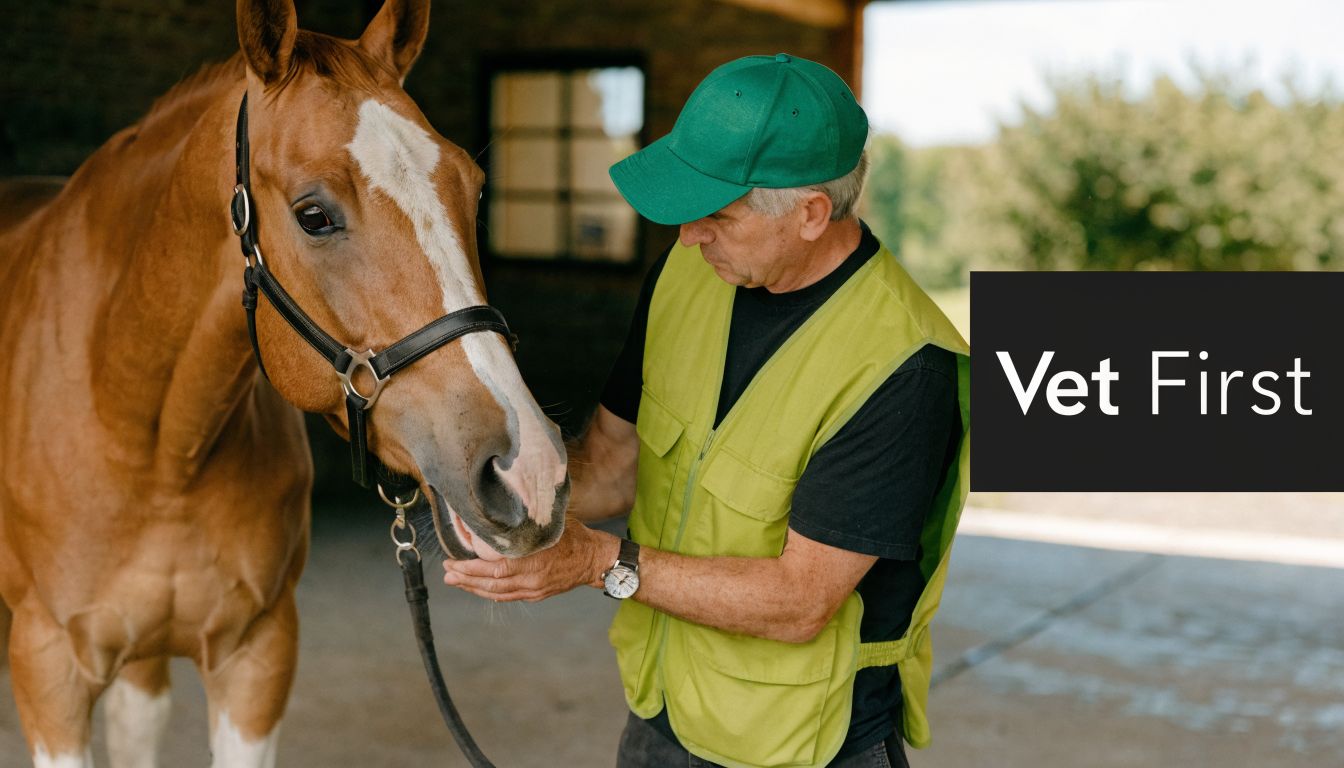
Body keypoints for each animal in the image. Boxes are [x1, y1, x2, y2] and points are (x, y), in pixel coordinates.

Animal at [0, 1, 570, 765]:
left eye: (473, 190)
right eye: (313, 215)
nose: (528, 470)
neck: (151, 442)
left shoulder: (257, 658)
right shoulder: (50, 673)